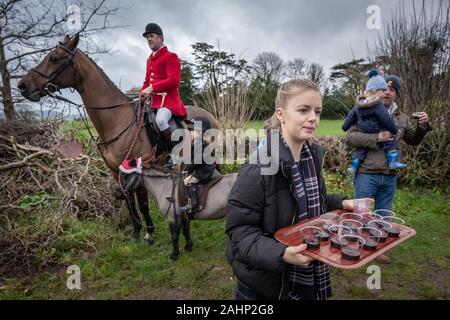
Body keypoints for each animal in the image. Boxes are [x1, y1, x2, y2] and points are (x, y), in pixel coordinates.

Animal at [18, 33, 219, 245]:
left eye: (54, 58)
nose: (22, 85)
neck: (117, 120)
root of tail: (207, 113)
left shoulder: (140, 168)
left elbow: (143, 204)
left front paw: (149, 233)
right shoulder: (116, 171)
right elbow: (129, 201)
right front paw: (136, 232)